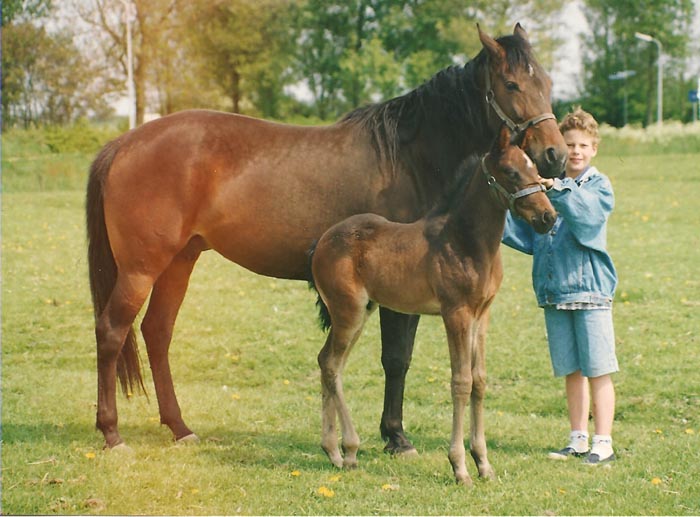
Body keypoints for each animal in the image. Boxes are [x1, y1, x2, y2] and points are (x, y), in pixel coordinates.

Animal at [312, 125, 556, 484]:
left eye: (535, 169)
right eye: (511, 172)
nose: (548, 217)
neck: (466, 242)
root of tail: (322, 242)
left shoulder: (482, 315)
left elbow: (479, 381)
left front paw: (483, 463)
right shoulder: (455, 313)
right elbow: (461, 382)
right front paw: (460, 466)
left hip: (361, 312)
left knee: (329, 362)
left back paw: (333, 451)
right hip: (349, 311)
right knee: (331, 364)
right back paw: (349, 449)